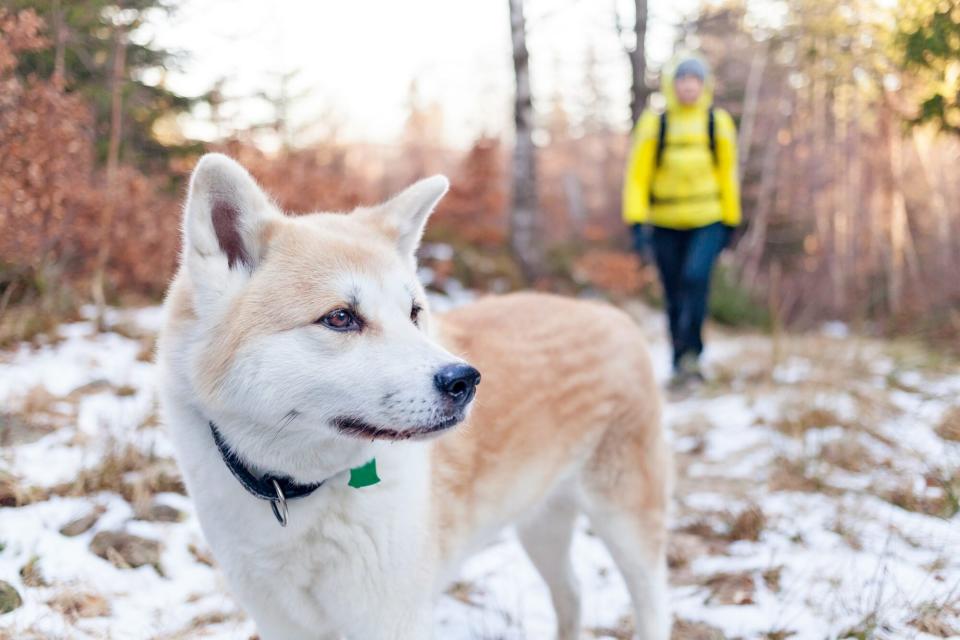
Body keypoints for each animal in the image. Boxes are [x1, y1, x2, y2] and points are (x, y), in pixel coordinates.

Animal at [154, 155, 672, 640]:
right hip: (540, 522)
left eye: (414, 312)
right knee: (572, 593)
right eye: (340, 318)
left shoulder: (392, 619)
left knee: (651, 603)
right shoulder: (282, 621)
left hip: (626, 523)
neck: (299, 491)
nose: (465, 380)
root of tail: (610, 313)